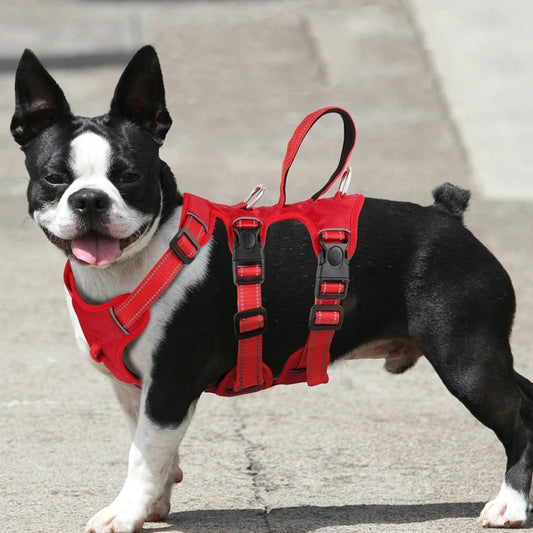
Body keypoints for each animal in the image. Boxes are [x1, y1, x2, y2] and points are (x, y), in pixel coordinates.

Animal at [10, 44, 532, 528]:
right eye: (54, 178)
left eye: (130, 177)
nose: (89, 199)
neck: (136, 261)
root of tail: (448, 215)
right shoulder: (132, 387)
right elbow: (153, 450)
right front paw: (154, 504)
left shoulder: (170, 382)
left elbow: (143, 454)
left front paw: (124, 513)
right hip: (481, 354)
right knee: (525, 395)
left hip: (466, 358)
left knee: (518, 418)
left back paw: (510, 505)